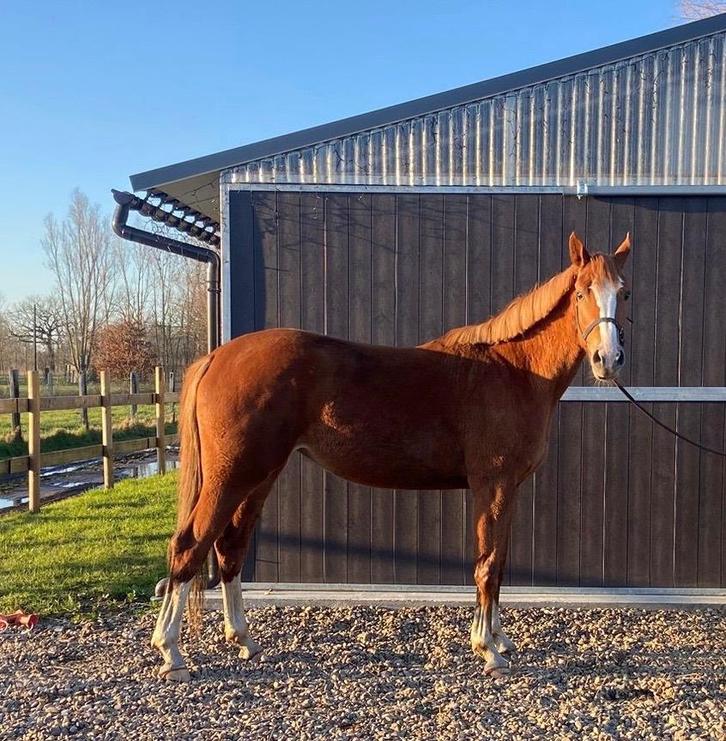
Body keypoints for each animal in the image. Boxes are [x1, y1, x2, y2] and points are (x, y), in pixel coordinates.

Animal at [152, 231, 631, 681]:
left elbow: (499, 562)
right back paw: (172, 653)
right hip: (232, 475)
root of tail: (216, 356)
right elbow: (488, 563)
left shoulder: (507, 489)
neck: (512, 370)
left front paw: (499, 638)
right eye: (583, 291)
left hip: (260, 476)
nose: (608, 359)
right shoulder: (492, 485)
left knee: (230, 547)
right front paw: (488, 650)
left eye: (623, 293)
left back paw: (244, 640)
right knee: (190, 545)